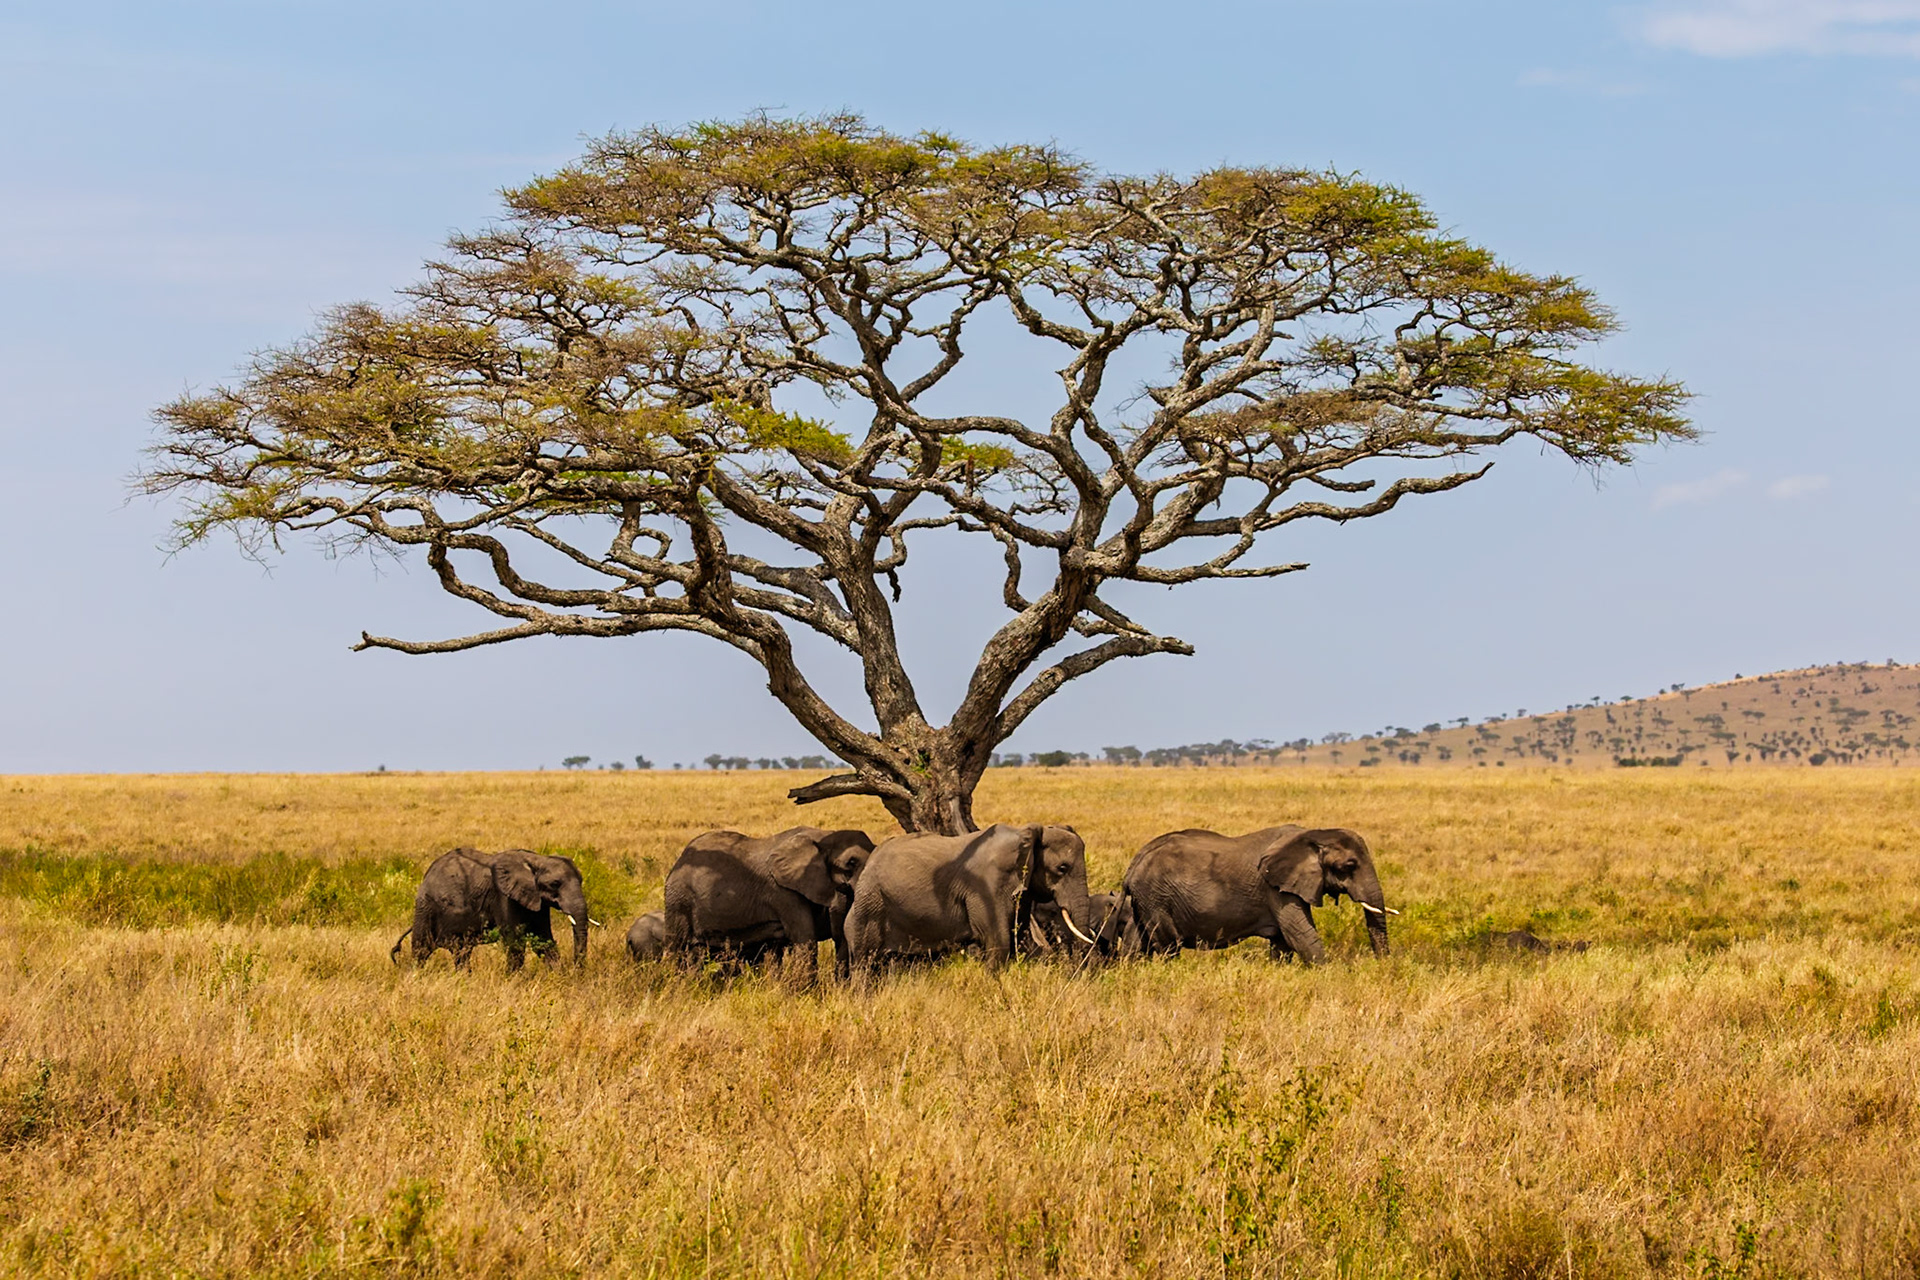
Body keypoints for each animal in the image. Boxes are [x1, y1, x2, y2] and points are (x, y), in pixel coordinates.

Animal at [391, 847, 594, 970]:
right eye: (555, 884)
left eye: (582, 880)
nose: (577, 970)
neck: (535, 859)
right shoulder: (503, 896)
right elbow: (514, 942)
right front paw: (515, 981)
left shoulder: (537, 900)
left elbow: (543, 939)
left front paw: (557, 976)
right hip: (425, 907)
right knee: (421, 950)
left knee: (461, 953)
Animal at [661, 827, 874, 980]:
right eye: (851, 863)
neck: (824, 835)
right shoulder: (782, 892)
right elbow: (806, 941)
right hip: (677, 901)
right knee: (678, 949)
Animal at [845, 824, 1095, 972]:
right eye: (1062, 868)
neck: (1027, 833)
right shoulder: (986, 885)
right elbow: (998, 940)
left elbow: (1019, 937)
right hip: (871, 903)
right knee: (864, 961)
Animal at [1122, 826, 1392, 965]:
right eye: (1349, 865)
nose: (1382, 968)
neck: (1313, 834)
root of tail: (1137, 860)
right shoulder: (1276, 888)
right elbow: (1300, 935)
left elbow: (1283, 942)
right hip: (1156, 898)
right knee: (1168, 946)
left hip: (1144, 901)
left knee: (1137, 942)